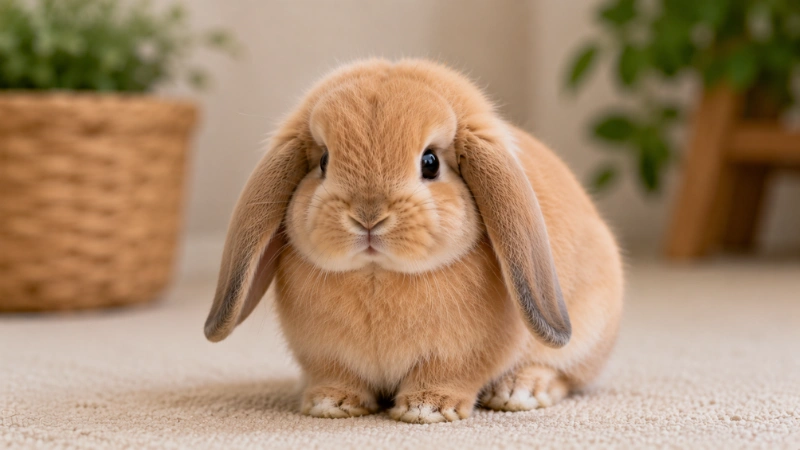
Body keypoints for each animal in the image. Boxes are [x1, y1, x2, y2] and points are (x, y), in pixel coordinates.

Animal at [204, 59, 623, 424]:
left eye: (430, 163)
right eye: (323, 161)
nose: (368, 217)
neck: (376, 274)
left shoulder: (457, 356)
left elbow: (446, 376)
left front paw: (426, 409)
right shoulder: (326, 356)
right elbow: (337, 376)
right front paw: (331, 404)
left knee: (562, 374)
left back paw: (518, 391)